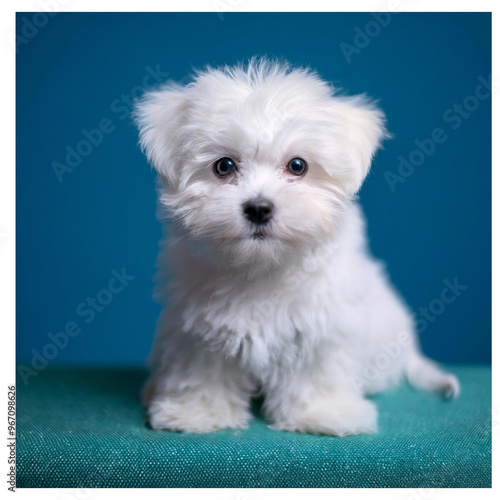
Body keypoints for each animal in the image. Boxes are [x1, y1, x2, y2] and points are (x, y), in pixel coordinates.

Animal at [135, 57, 458, 434]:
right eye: (224, 166)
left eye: (298, 166)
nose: (259, 208)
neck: (260, 268)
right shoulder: (195, 327)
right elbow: (202, 367)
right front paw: (198, 412)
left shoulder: (323, 322)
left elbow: (314, 369)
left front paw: (320, 413)